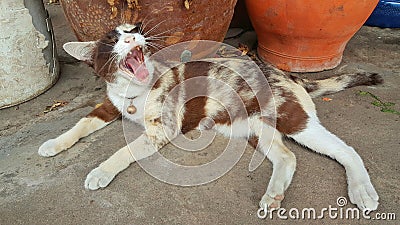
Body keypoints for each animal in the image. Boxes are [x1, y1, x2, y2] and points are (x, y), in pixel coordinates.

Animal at [37, 22, 382, 211]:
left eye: (132, 30)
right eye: (112, 39)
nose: (134, 35)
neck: (133, 93)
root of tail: (287, 74)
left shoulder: (163, 129)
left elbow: (123, 150)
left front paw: (100, 172)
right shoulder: (108, 106)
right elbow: (81, 124)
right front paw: (53, 143)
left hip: (293, 118)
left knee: (346, 150)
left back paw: (361, 189)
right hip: (254, 128)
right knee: (288, 157)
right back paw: (274, 194)